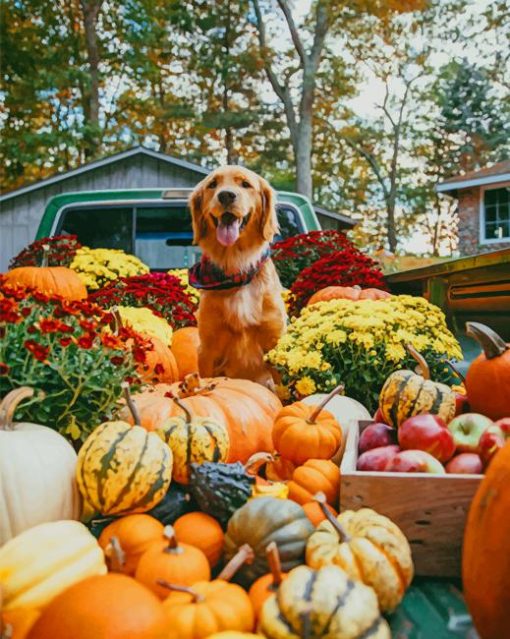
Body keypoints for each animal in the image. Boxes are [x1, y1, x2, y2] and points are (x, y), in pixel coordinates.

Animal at [189, 166, 286, 384]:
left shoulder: (274, 341)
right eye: (213, 185)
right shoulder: (207, 349)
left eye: (245, 184)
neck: (236, 268)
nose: (226, 195)